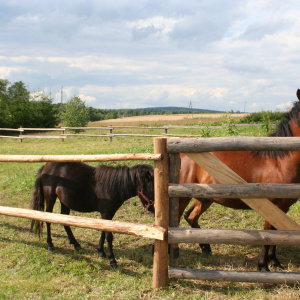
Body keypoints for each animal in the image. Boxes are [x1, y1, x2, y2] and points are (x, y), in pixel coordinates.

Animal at [178, 90, 300, 274]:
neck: (280, 161)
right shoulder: (270, 207)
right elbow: (268, 234)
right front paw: (263, 265)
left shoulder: (283, 208)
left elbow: (277, 235)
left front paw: (275, 261)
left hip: (204, 198)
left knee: (191, 217)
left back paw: (206, 247)